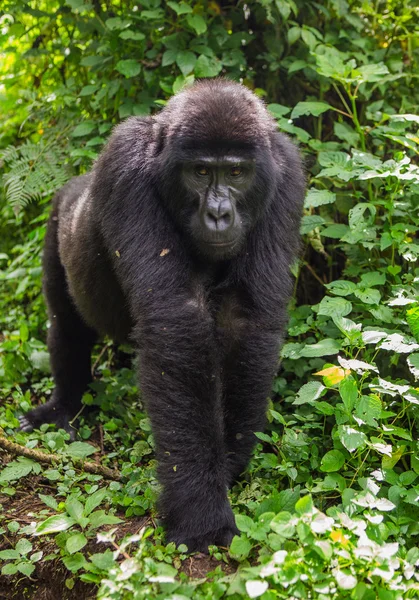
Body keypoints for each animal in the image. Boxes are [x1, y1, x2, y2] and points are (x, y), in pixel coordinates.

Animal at [18, 79, 306, 552]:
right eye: (201, 172)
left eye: (237, 174)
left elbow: (246, 319)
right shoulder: (124, 167)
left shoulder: (287, 175)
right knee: (66, 323)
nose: (219, 214)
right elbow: (176, 321)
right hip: (59, 215)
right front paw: (201, 509)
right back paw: (63, 407)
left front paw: (227, 463)